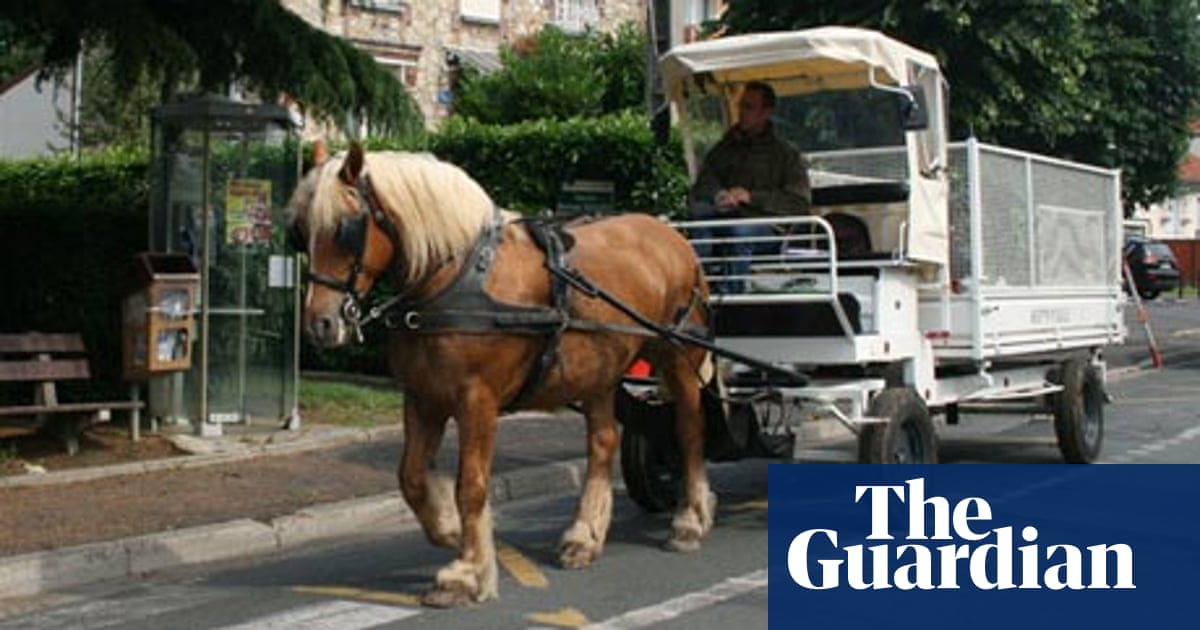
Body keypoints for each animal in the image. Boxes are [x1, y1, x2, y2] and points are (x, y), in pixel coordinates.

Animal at [285, 142, 717, 607]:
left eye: (346, 228)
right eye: (301, 231)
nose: (321, 324)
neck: (455, 279)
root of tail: (675, 238)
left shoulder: (477, 399)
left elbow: (471, 485)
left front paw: (468, 572)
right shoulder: (423, 397)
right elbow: (412, 478)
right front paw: (451, 531)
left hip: (678, 357)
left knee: (689, 429)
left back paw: (690, 519)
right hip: (599, 371)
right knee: (603, 442)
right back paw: (584, 536)